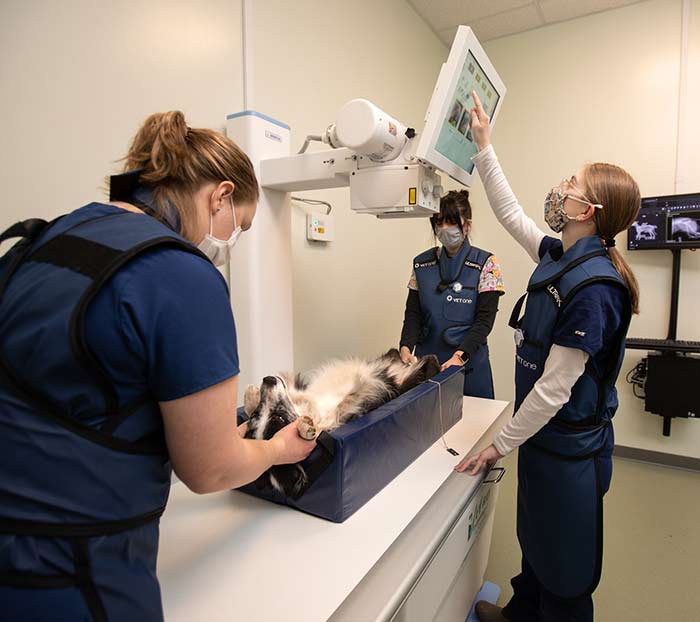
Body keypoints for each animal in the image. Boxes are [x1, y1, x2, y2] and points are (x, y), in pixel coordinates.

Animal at [243, 352, 440, 498]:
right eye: (280, 419)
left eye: (257, 415)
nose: (268, 379)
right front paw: (306, 429)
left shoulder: (304, 394)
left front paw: (251, 394)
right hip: (413, 379)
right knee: (425, 367)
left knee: (398, 357)